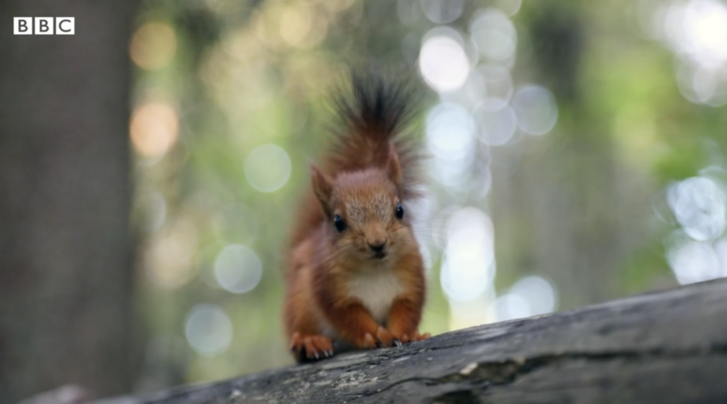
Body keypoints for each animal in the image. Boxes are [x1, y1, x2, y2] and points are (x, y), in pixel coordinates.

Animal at [282, 71, 432, 362]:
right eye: (338, 222)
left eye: (400, 210)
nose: (377, 243)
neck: (374, 271)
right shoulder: (330, 290)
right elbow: (352, 320)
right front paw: (377, 336)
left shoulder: (411, 280)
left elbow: (406, 312)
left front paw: (408, 335)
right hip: (300, 301)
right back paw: (309, 341)